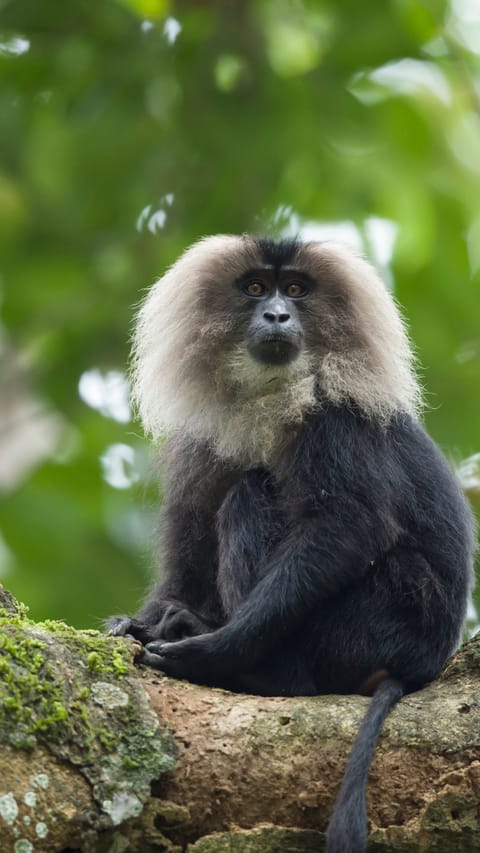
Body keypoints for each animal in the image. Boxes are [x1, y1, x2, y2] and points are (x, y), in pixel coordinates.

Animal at [109, 235, 475, 853]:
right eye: (257, 288)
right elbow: (186, 566)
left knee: (253, 495)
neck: (273, 395)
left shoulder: (337, 411)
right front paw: (141, 623)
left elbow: (350, 526)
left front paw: (215, 649)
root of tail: (424, 659)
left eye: (297, 290)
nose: (278, 315)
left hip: (374, 619)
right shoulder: (201, 447)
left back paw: (264, 672)